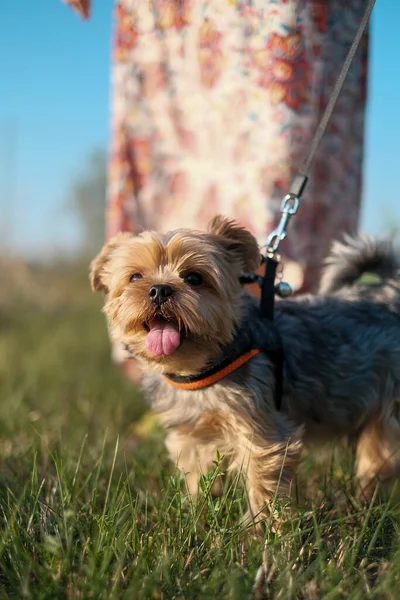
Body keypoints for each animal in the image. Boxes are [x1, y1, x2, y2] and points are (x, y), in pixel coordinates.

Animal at [90, 218, 400, 524]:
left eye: (194, 278)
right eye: (135, 277)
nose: (159, 289)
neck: (200, 369)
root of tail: (390, 292)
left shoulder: (262, 428)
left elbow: (263, 482)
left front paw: (260, 530)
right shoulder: (191, 436)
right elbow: (197, 478)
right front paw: (196, 517)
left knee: (379, 457)